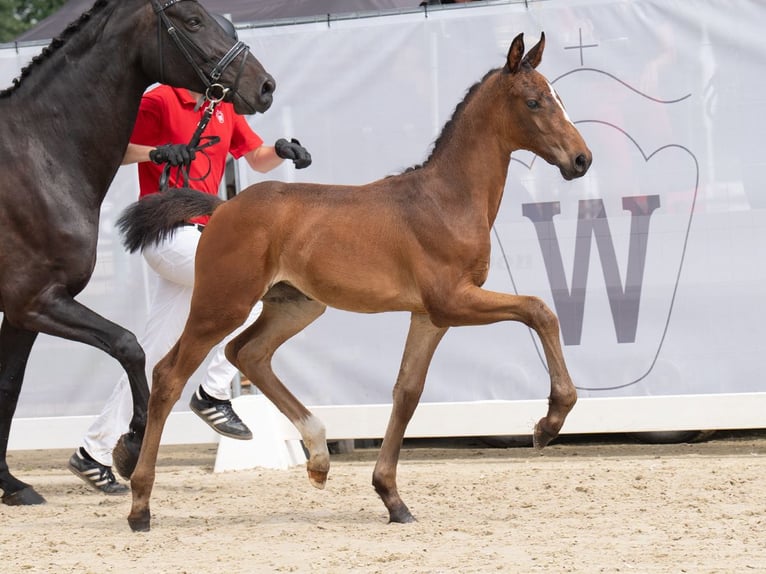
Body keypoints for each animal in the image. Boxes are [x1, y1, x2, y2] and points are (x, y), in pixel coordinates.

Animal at [0, 0, 276, 506]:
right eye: (192, 20)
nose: (265, 86)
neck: (40, 154)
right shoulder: (36, 300)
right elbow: (129, 345)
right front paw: (131, 445)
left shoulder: (21, 312)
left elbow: (8, 388)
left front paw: (11, 484)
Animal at [118, 33, 592, 532]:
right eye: (534, 101)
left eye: (558, 97)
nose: (582, 159)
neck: (448, 198)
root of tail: (222, 206)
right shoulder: (451, 301)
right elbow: (539, 309)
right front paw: (549, 423)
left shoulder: (429, 315)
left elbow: (407, 392)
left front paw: (392, 498)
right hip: (222, 303)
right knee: (169, 374)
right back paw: (140, 503)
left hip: (296, 305)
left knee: (248, 353)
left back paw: (319, 457)